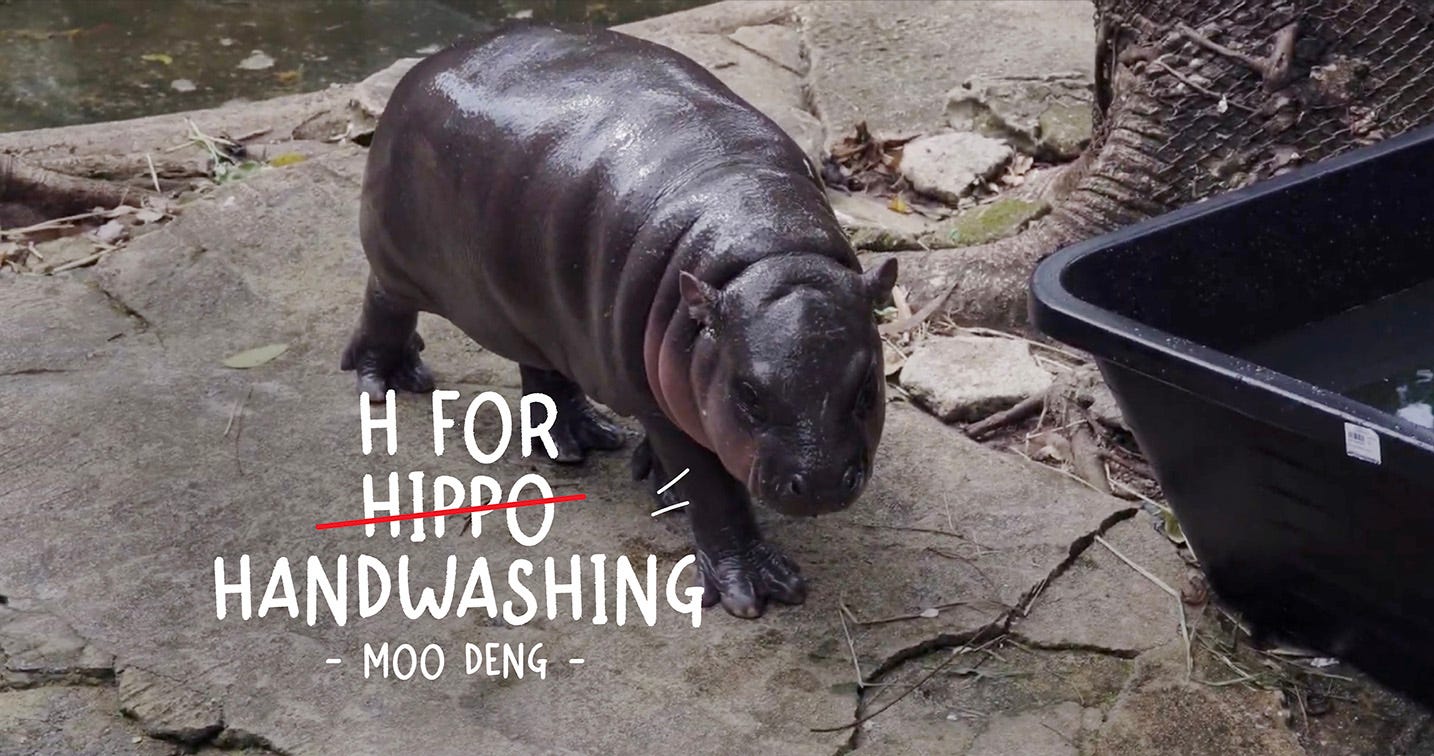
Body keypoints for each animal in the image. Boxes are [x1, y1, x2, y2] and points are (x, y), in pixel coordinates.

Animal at [342, 22, 897, 618]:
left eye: (867, 387)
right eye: (748, 394)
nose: (820, 484)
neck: (766, 247)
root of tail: (430, 62)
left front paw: (656, 479)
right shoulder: (660, 399)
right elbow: (712, 488)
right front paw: (753, 589)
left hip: (537, 305)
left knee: (543, 369)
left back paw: (578, 442)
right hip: (398, 258)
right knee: (385, 301)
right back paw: (387, 382)